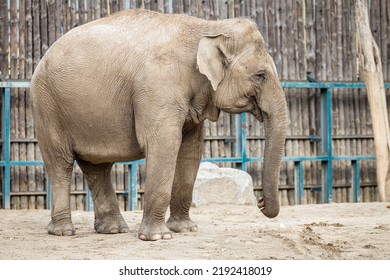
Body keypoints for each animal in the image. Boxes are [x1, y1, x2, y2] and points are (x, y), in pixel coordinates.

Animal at [30, 9, 288, 241]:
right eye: (260, 75)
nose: (260, 202)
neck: (207, 27)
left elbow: (190, 151)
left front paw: (185, 230)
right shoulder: (157, 87)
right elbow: (164, 144)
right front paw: (157, 237)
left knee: (97, 167)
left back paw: (113, 230)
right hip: (46, 105)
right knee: (60, 163)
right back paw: (64, 232)